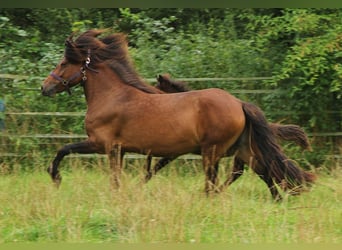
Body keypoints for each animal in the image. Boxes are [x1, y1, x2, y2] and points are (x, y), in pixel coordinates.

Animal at [145, 73, 312, 190]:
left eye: (156, 87)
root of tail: (242, 105)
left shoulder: (175, 151)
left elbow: (156, 166)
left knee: (248, 171)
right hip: (243, 153)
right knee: (252, 171)